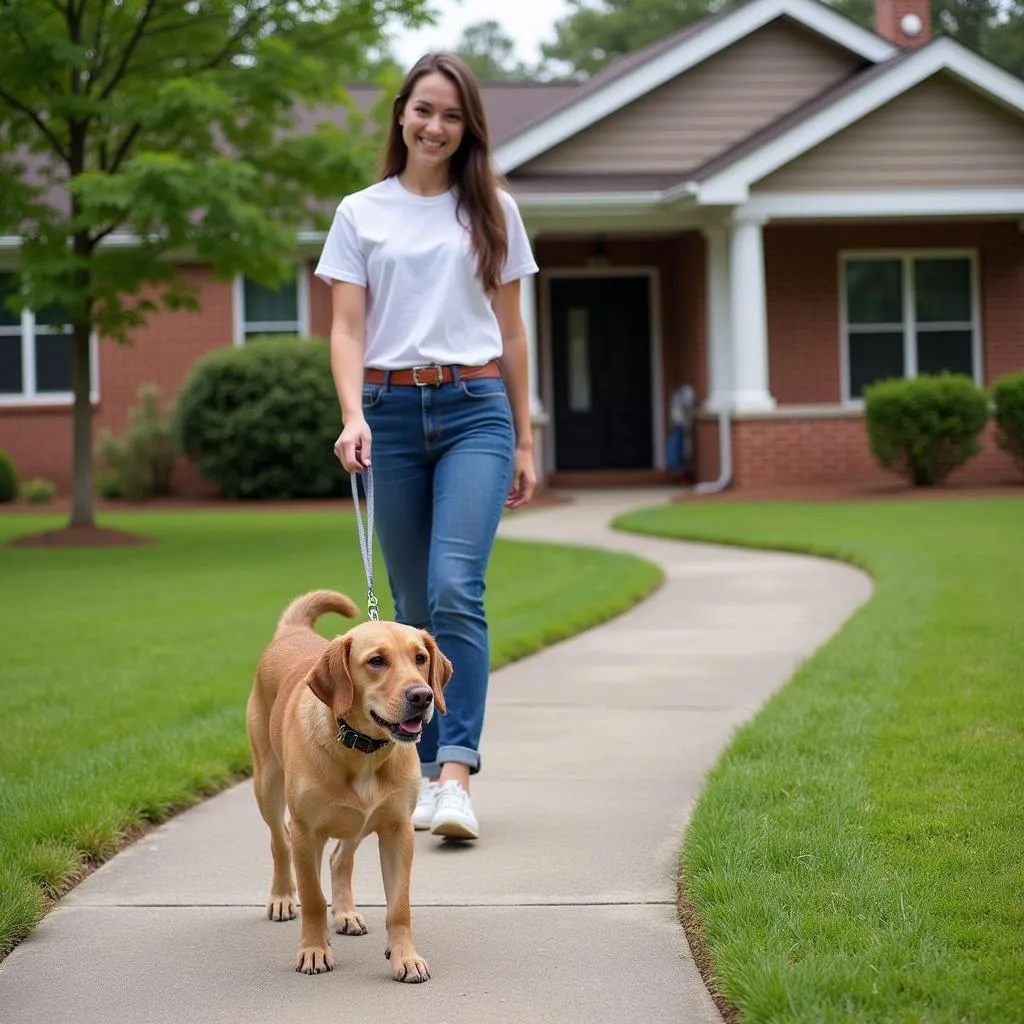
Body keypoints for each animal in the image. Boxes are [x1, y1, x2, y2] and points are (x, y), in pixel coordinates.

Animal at [245, 589, 450, 978]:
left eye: (420, 658)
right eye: (376, 661)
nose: (422, 695)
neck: (362, 748)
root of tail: (293, 632)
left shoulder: (398, 830)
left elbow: (399, 906)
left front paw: (405, 956)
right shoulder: (306, 831)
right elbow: (312, 897)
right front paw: (313, 950)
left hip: (359, 820)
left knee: (341, 858)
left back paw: (345, 913)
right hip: (267, 785)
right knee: (279, 840)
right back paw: (282, 897)